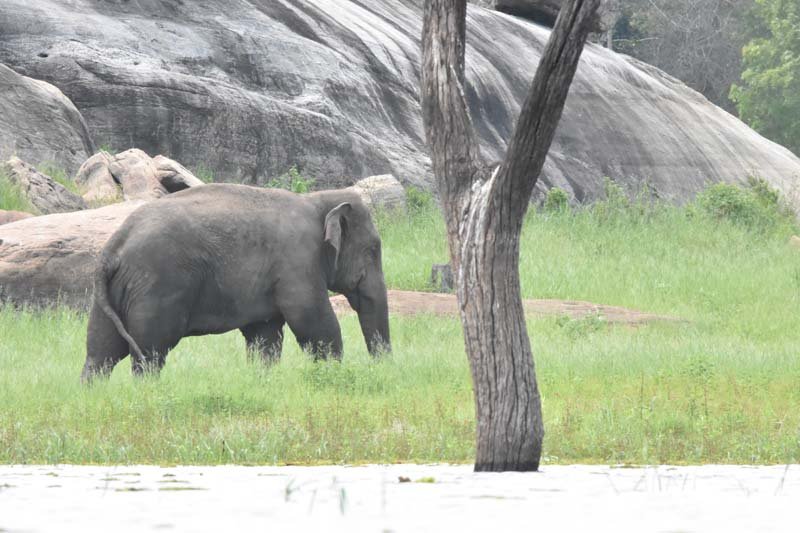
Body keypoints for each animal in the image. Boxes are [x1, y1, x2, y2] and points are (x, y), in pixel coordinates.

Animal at [81, 183, 390, 382]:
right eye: (373, 250)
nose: (380, 367)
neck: (316, 199)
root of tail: (113, 249)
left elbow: (264, 334)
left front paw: (262, 380)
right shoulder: (298, 260)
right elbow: (311, 319)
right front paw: (331, 373)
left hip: (113, 291)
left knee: (101, 353)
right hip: (155, 287)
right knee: (149, 353)